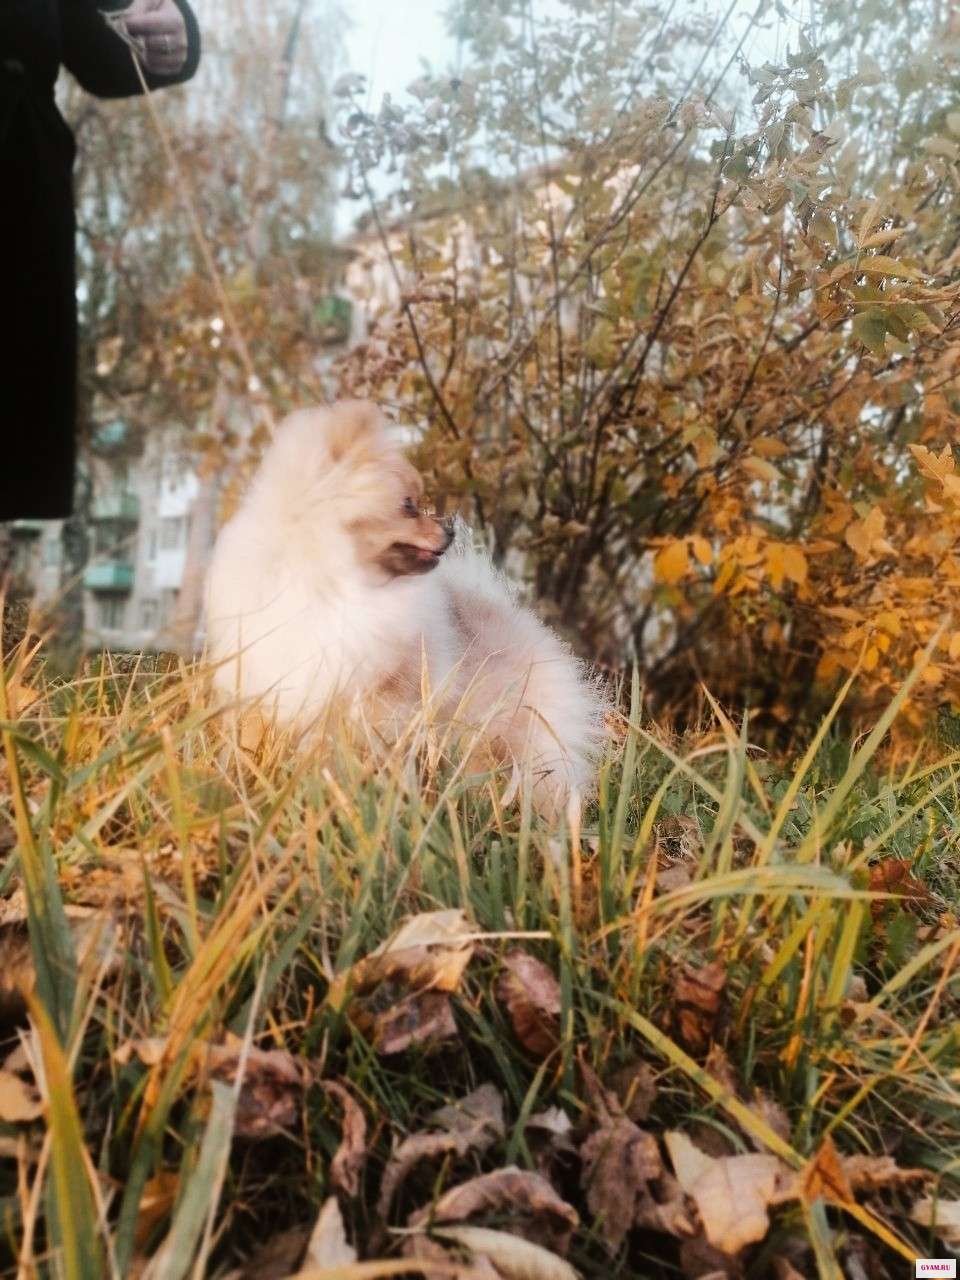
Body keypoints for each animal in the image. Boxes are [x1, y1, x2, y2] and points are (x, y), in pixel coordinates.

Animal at [204, 401, 605, 815]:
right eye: (409, 505)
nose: (450, 529)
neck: (330, 583)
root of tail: (515, 618)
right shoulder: (264, 683)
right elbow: (252, 741)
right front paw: (246, 787)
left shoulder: (373, 697)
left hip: (506, 734)